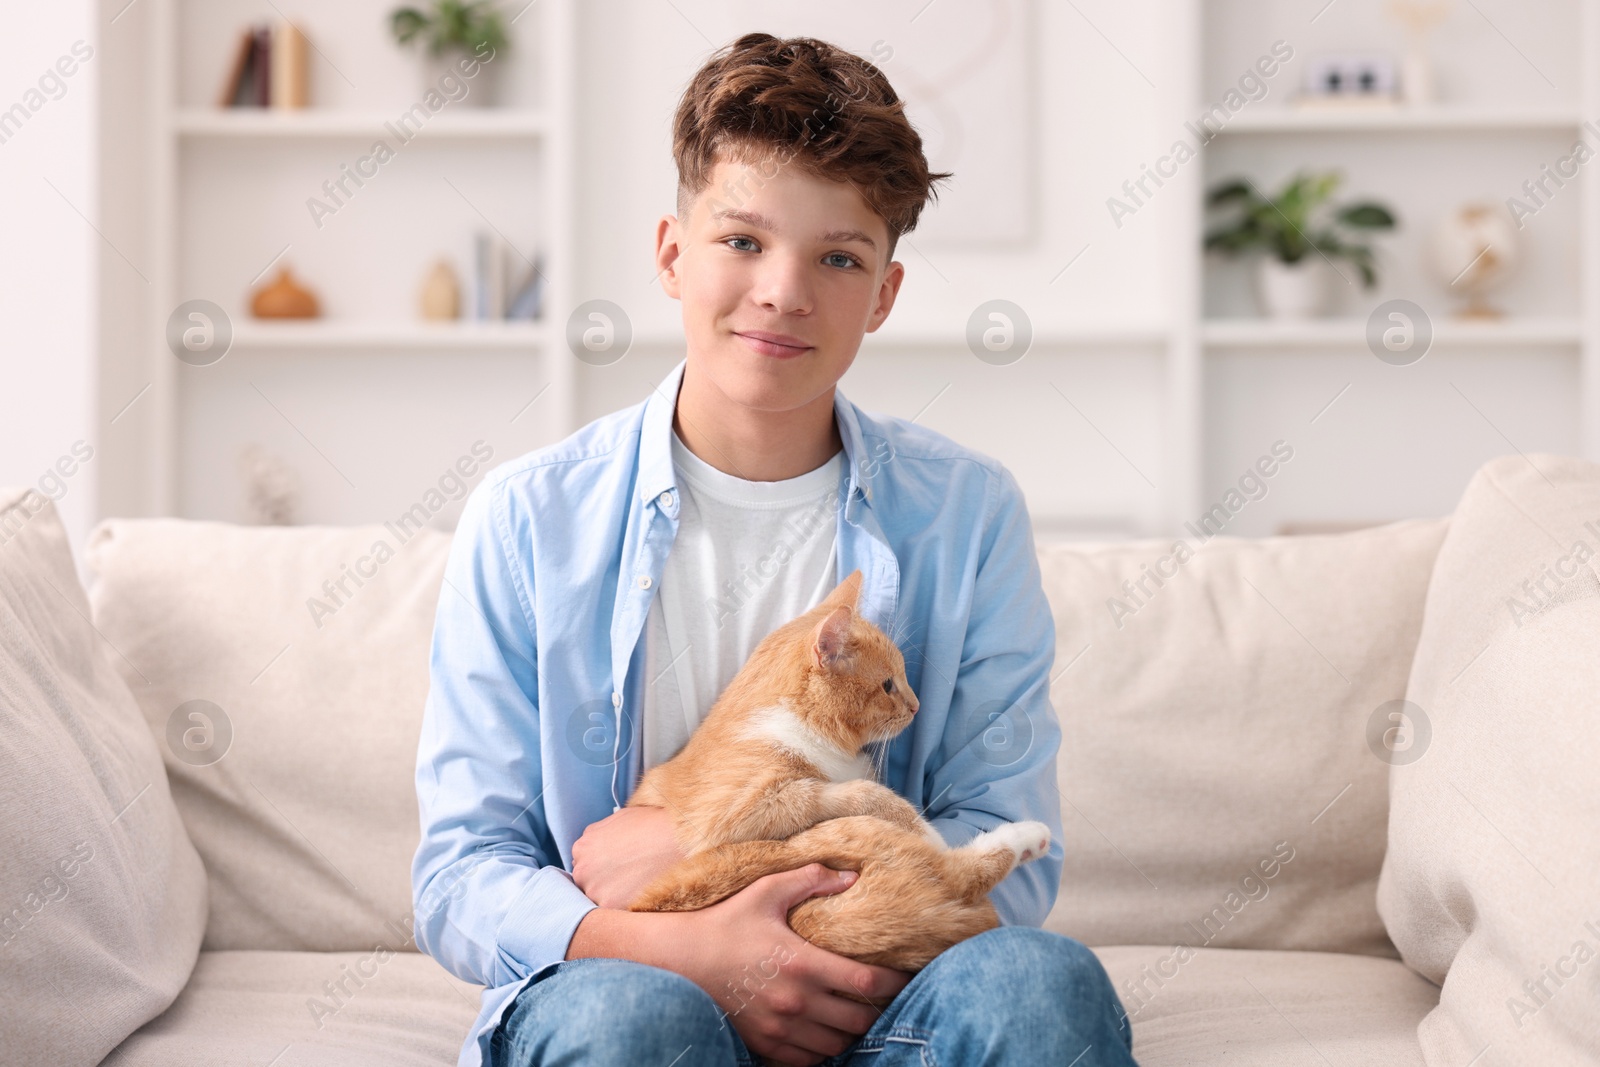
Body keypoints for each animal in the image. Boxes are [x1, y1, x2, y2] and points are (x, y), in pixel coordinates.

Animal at [630, 572, 1056, 979]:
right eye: (888, 684)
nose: (917, 706)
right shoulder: (733, 811)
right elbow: (858, 794)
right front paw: (923, 828)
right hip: (829, 841)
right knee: (961, 874)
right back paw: (1028, 836)